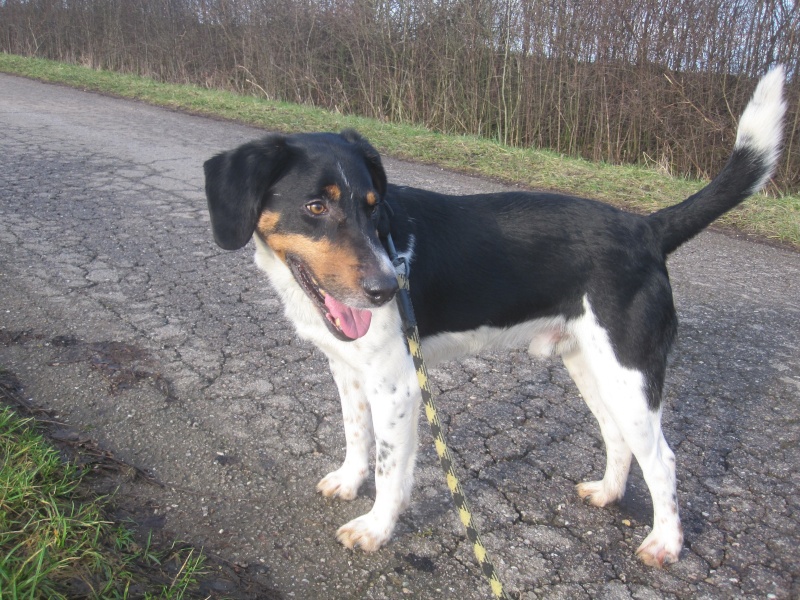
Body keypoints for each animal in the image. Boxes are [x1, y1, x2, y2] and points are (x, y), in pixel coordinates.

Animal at [203, 69, 784, 568]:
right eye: (316, 208)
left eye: (373, 206)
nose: (388, 289)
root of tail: (648, 227)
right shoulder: (348, 371)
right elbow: (355, 436)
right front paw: (349, 482)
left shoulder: (397, 386)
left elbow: (391, 469)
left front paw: (376, 528)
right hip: (592, 366)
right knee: (617, 437)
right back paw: (607, 493)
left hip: (631, 374)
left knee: (662, 460)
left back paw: (665, 542)